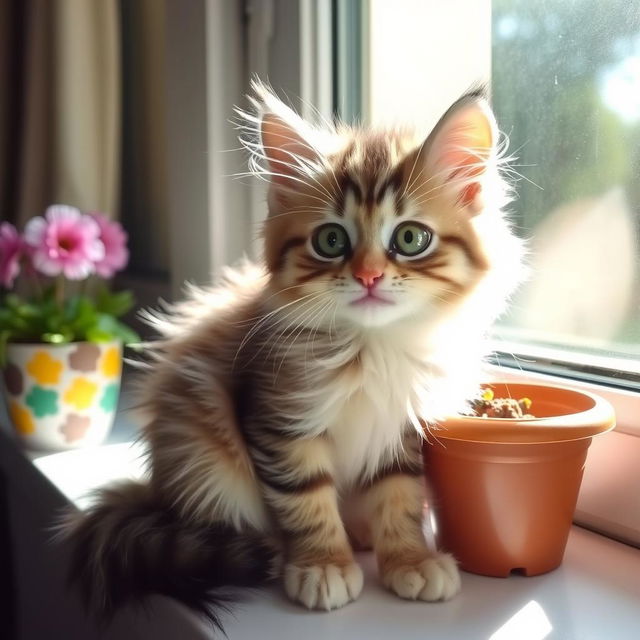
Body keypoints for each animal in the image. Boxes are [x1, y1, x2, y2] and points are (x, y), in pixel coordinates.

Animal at [62, 80, 524, 624]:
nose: (368, 275)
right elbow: (305, 500)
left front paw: (409, 558)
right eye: (332, 240)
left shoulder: (400, 431)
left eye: (411, 238)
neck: (372, 349)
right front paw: (323, 564)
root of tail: (155, 493)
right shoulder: (278, 421)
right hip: (199, 447)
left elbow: (400, 496)